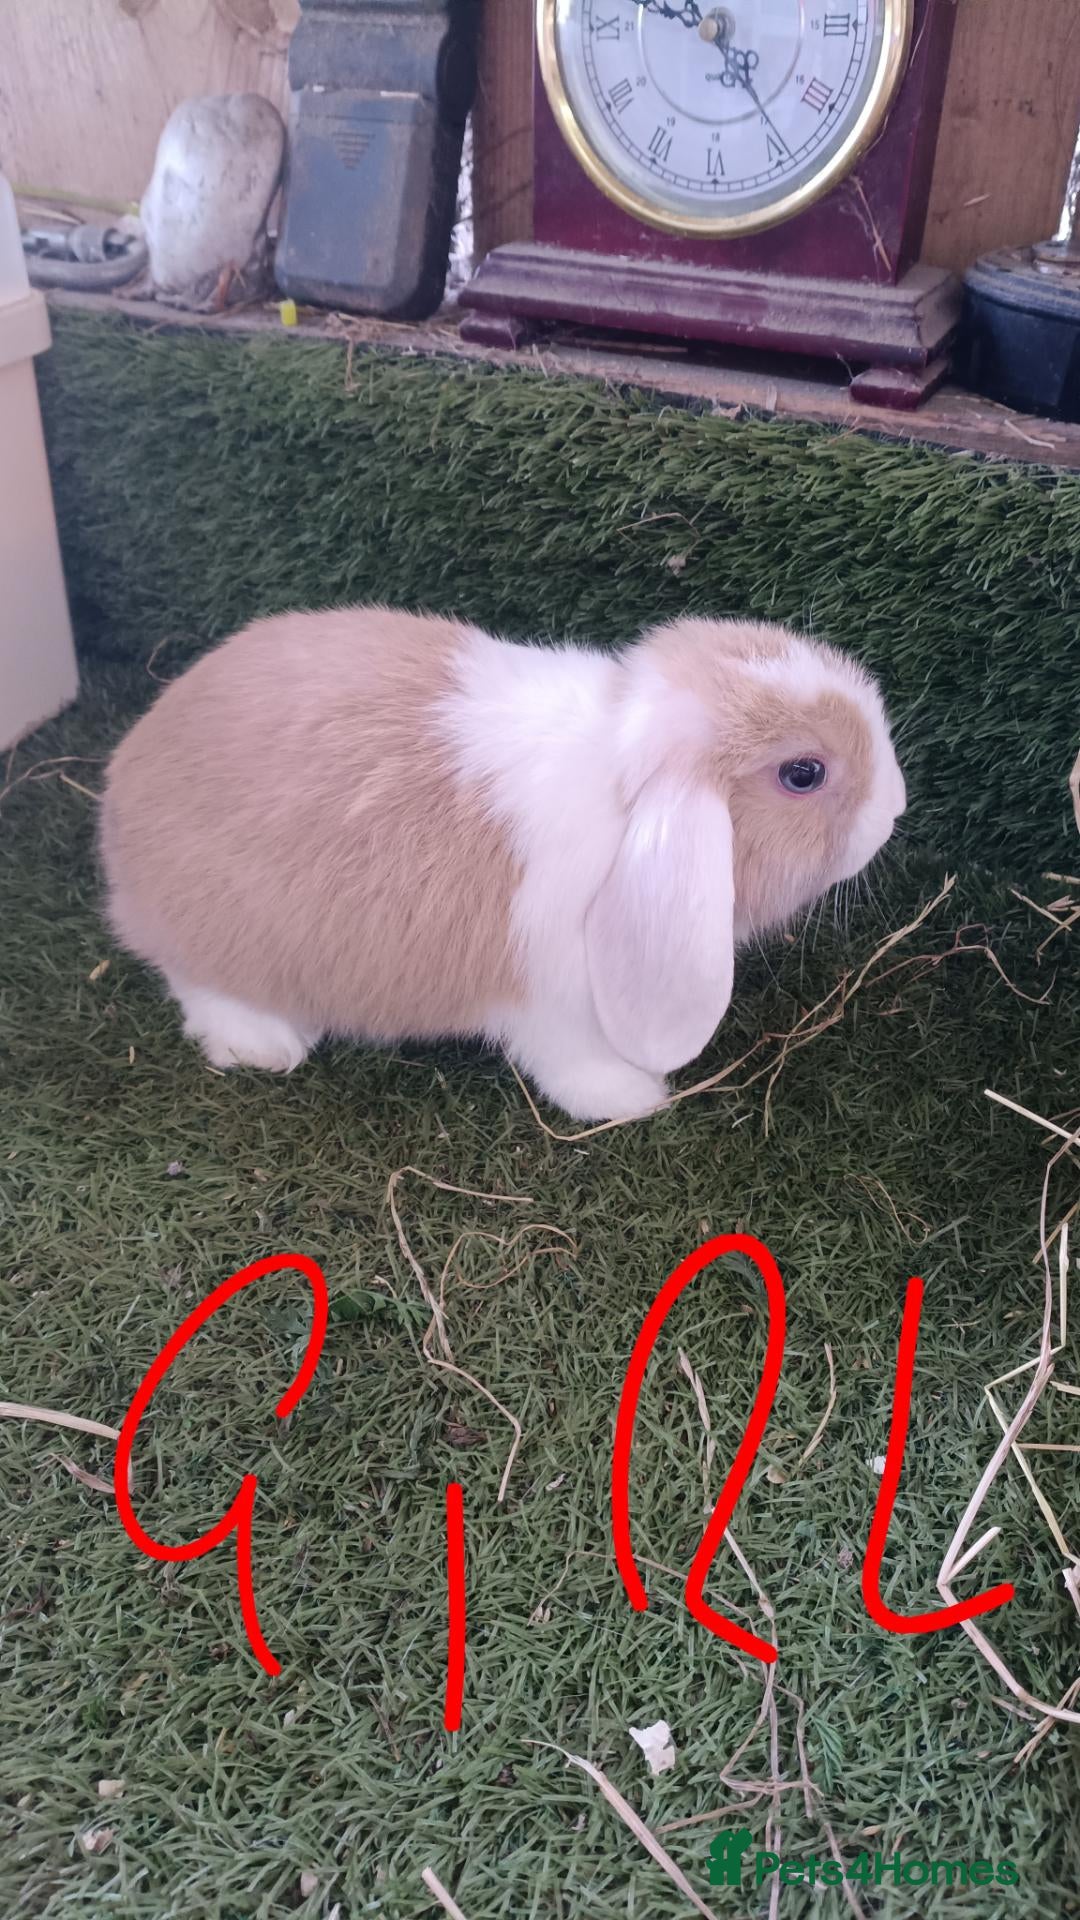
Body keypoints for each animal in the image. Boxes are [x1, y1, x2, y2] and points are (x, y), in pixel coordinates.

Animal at [100, 606, 906, 1122]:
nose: (895, 807)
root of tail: (117, 805)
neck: (625, 802)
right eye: (803, 774)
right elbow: (572, 1063)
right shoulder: (552, 997)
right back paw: (265, 1044)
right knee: (196, 982)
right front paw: (634, 1096)